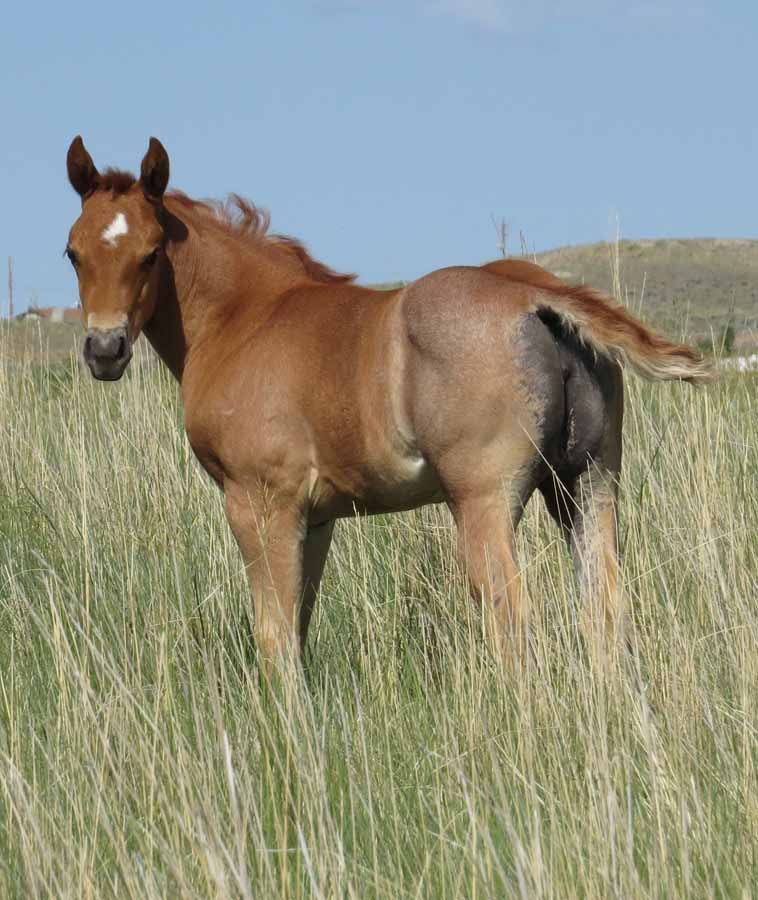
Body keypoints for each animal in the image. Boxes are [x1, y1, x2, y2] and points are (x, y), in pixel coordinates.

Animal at [64, 135, 713, 668]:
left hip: (484, 499)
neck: (244, 317)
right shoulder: (316, 515)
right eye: (72, 252)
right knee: (607, 612)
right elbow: (298, 624)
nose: (104, 349)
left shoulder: (259, 501)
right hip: (588, 484)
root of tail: (532, 294)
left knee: (510, 618)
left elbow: (273, 636)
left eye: (151, 253)